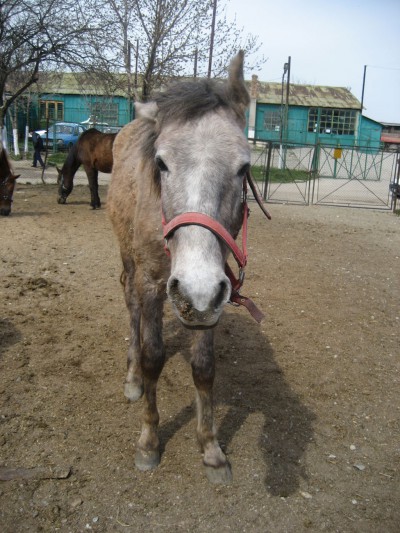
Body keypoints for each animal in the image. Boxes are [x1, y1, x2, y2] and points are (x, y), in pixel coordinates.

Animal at [106, 53, 268, 482]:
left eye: (244, 168)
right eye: (161, 163)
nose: (192, 288)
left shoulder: (212, 295)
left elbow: (204, 367)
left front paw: (210, 449)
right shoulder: (152, 283)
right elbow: (152, 358)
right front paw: (148, 442)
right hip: (130, 262)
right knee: (130, 307)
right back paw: (132, 379)